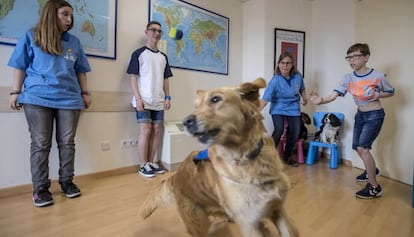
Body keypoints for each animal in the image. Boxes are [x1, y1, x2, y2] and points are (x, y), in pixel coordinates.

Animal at [138, 78, 298, 237]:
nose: (185, 122)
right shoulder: (249, 223)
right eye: (196, 106)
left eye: (215, 99)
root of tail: (175, 176)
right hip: (198, 222)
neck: (247, 158)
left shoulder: (278, 209)